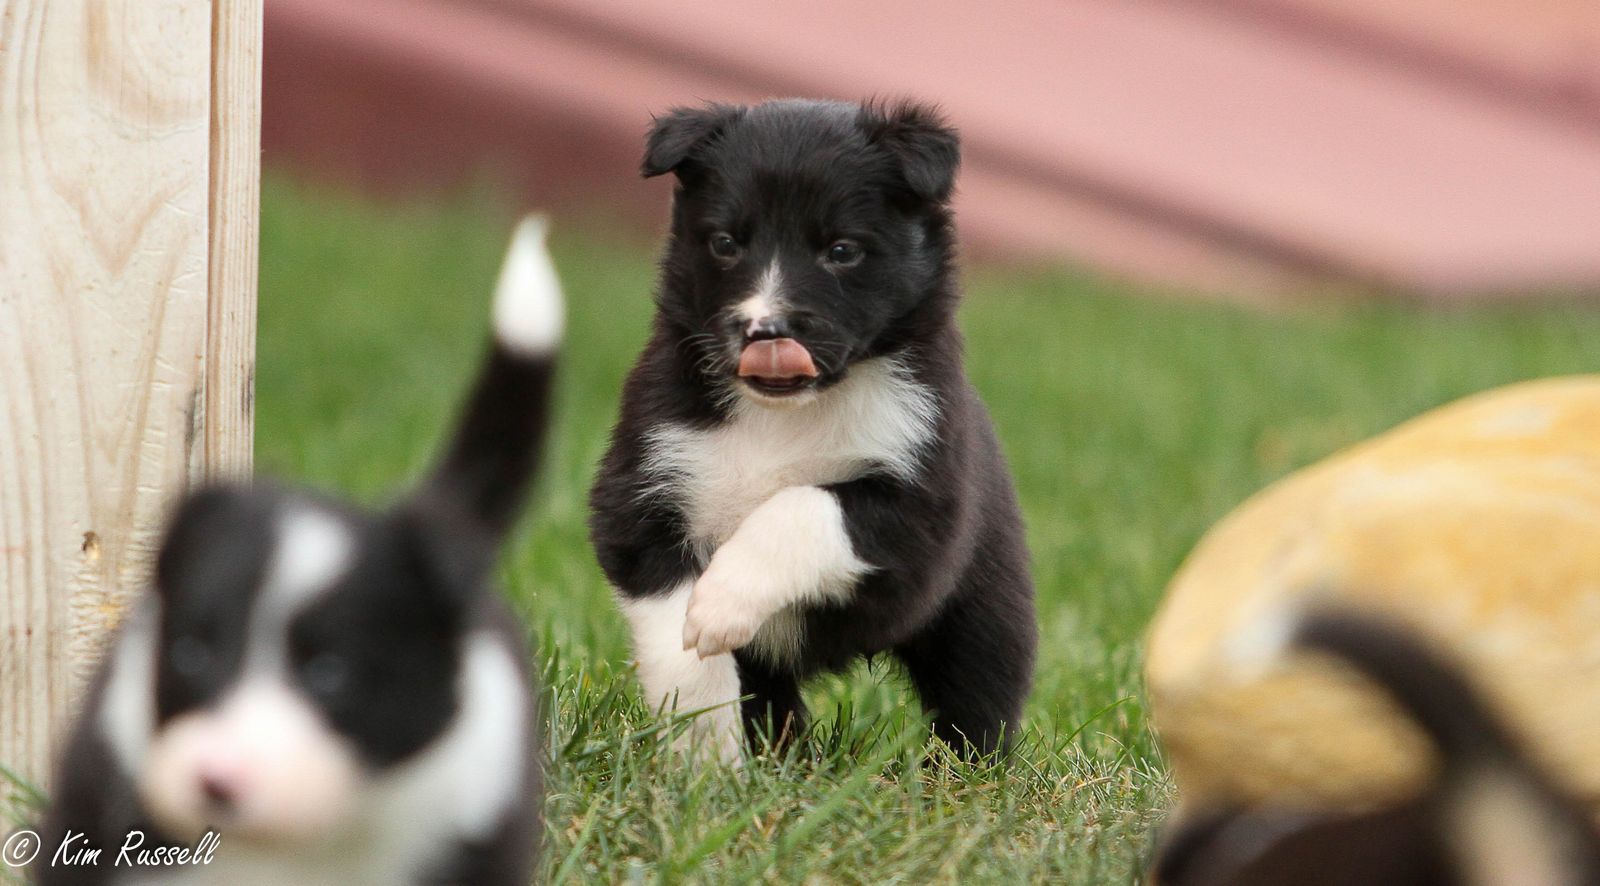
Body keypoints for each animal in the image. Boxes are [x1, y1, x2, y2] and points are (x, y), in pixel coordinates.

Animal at [588, 98, 1037, 761]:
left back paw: (966, 770)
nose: (766, 332)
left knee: (980, 688)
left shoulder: (920, 506)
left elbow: (803, 505)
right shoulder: (642, 491)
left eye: (842, 250)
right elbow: (680, 646)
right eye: (725, 242)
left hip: (983, 603)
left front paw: (722, 601)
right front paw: (705, 756)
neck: (782, 414)